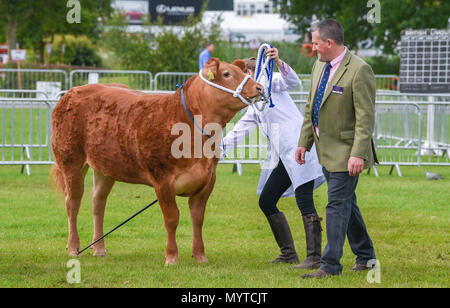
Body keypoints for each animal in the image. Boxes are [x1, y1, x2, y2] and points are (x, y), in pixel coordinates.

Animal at [51, 58, 264, 264]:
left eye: (244, 72)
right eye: (227, 74)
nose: (260, 88)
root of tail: (73, 92)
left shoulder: (208, 179)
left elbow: (198, 218)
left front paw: (200, 256)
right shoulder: (163, 180)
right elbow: (172, 218)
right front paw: (171, 257)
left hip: (105, 168)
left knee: (98, 203)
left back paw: (99, 248)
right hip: (71, 161)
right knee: (73, 203)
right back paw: (74, 247)